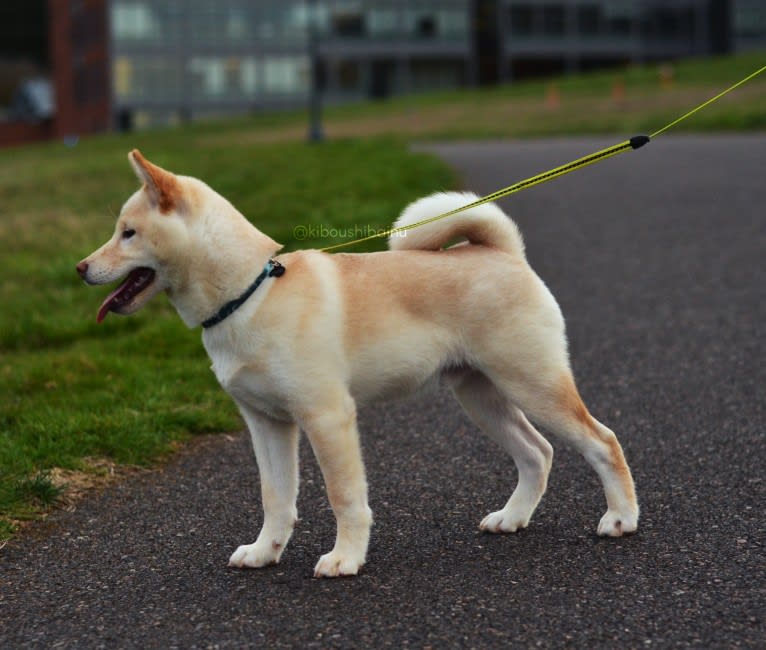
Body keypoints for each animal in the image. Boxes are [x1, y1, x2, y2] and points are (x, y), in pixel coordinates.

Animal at [78, 151, 640, 576]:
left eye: (128, 233)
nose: (80, 268)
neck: (250, 293)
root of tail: (503, 253)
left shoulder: (327, 417)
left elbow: (343, 496)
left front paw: (345, 558)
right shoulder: (267, 425)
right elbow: (276, 498)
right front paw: (264, 552)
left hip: (533, 386)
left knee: (602, 441)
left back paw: (621, 518)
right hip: (482, 397)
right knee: (537, 453)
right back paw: (512, 517)